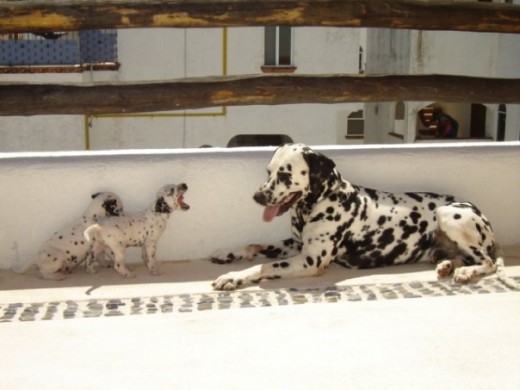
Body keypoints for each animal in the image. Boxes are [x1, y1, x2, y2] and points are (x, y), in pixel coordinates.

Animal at [211, 143, 516, 290]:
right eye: (268, 172)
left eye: (285, 175)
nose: (257, 197)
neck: (320, 202)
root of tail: (484, 217)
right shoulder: (295, 243)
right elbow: (255, 245)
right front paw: (228, 254)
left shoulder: (310, 260)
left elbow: (263, 267)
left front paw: (233, 277)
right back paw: (447, 266)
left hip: (448, 215)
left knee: (487, 262)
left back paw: (464, 271)